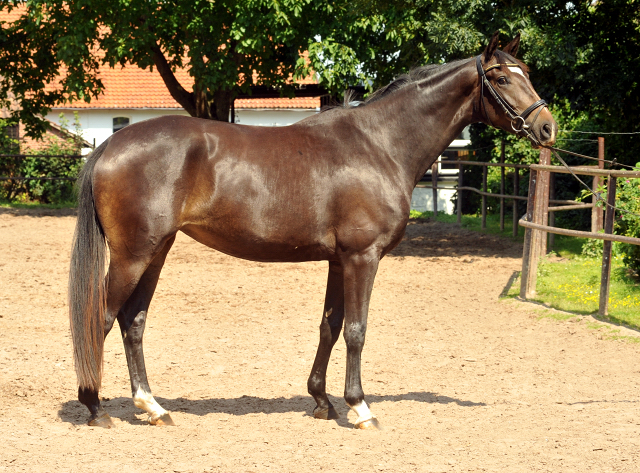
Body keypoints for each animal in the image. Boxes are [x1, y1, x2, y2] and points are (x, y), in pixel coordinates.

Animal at [66, 32, 556, 428]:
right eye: (503, 78)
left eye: (527, 72)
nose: (547, 126)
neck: (379, 145)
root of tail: (112, 143)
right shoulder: (362, 257)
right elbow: (357, 329)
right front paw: (360, 408)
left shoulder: (340, 261)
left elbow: (330, 326)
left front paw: (322, 401)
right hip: (133, 254)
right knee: (102, 317)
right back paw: (94, 406)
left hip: (157, 250)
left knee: (133, 321)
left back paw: (152, 407)